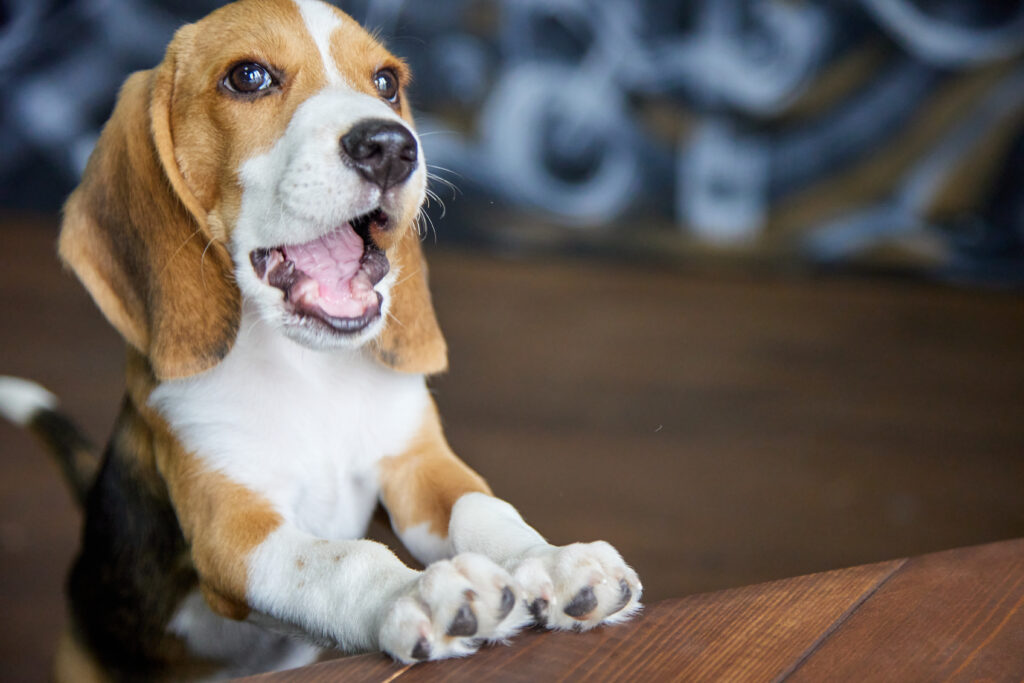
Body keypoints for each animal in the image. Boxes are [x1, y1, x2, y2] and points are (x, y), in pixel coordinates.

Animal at [0, 1, 638, 679]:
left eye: (386, 82)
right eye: (248, 77)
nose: (390, 146)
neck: (310, 371)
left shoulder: (417, 464)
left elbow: (481, 506)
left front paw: (552, 559)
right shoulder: (234, 532)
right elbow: (343, 560)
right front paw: (417, 592)